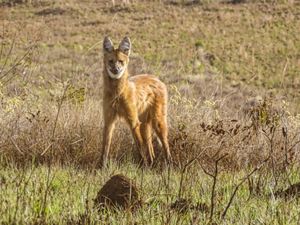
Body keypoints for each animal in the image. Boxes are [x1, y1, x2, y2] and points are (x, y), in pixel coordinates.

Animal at [101, 37, 171, 167]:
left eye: (120, 61)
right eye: (111, 61)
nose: (116, 69)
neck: (117, 94)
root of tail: (157, 79)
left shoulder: (133, 122)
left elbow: (140, 147)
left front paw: (143, 167)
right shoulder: (109, 121)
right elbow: (105, 148)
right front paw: (101, 167)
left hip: (157, 122)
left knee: (165, 146)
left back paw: (169, 165)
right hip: (145, 124)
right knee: (151, 151)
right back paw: (151, 164)